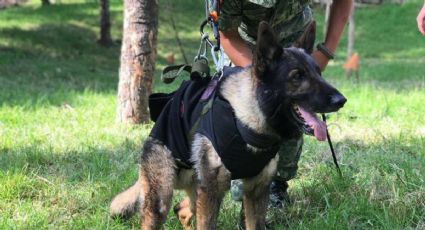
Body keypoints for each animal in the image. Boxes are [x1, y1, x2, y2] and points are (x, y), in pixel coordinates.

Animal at [108, 22, 344, 230]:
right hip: (163, 198)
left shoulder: (257, 193)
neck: (248, 122)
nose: (341, 100)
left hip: (196, 192)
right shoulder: (213, 193)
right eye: (297, 76)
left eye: (318, 72)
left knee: (181, 209)